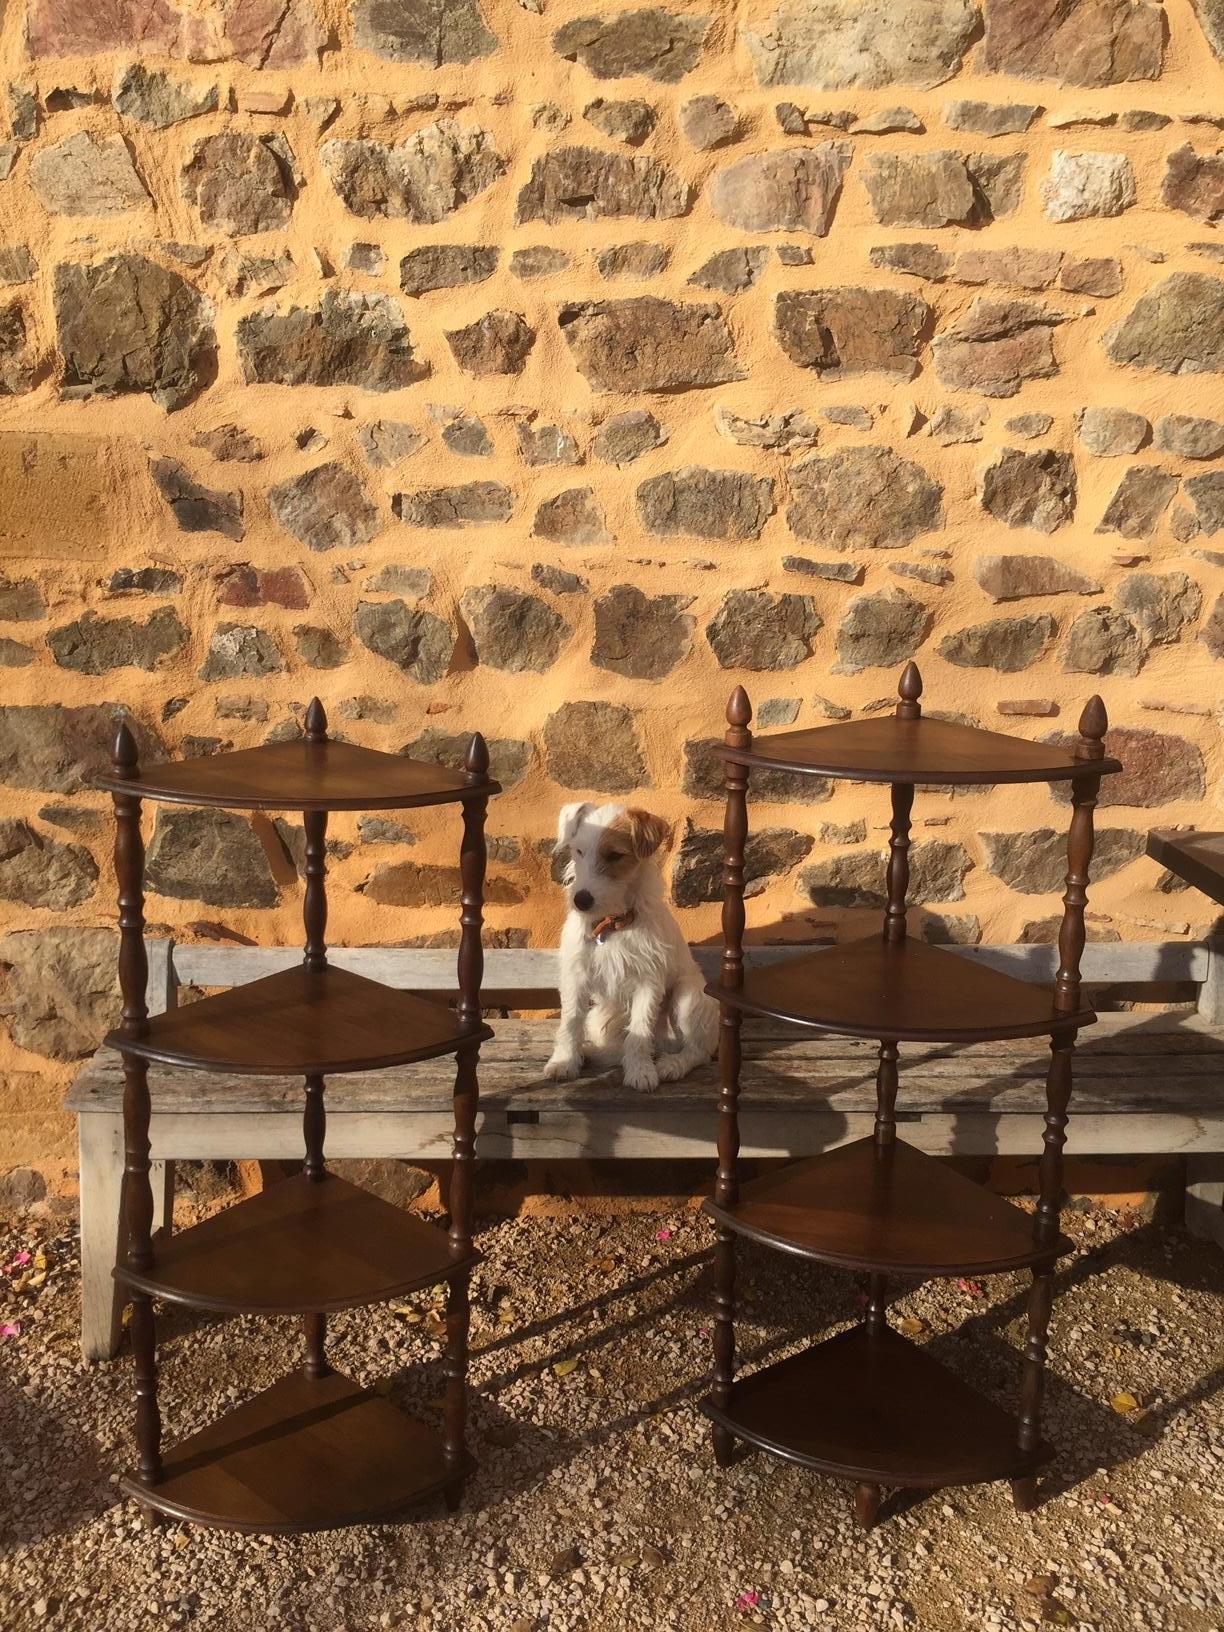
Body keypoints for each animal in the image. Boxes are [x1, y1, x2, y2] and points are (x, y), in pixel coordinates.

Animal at [545, 799, 718, 1090]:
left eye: (614, 855)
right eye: (579, 851)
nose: (580, 900)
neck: (612, 924)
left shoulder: (648, 981)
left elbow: (639, 1031)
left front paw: (641, 1071)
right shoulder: (575, 977)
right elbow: (570, 1022)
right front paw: (564, 1061)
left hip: (687, 997)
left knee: (697, 1051)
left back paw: (671, 1065)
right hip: (599, 1017)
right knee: (616, 1046)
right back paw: (591, 1053)